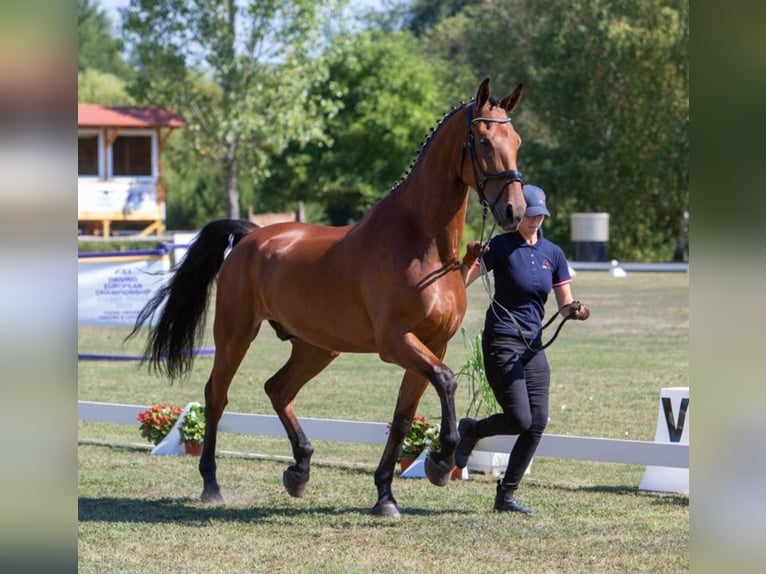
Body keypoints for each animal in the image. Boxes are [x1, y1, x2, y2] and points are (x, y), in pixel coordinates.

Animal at [128, 78, 525, 517]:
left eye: (517, 141)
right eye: (483, 140)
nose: (514, 211)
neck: (424, 246)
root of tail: (252, 235)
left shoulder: (431, 343)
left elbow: (405, 416)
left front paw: (386, 495)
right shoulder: (395, 342)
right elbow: (446, 380)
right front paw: (439, 463)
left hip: (316, 347)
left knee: (278, 389)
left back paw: (299, 470)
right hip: (235, 335)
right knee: (217, 396)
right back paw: (213, 484)